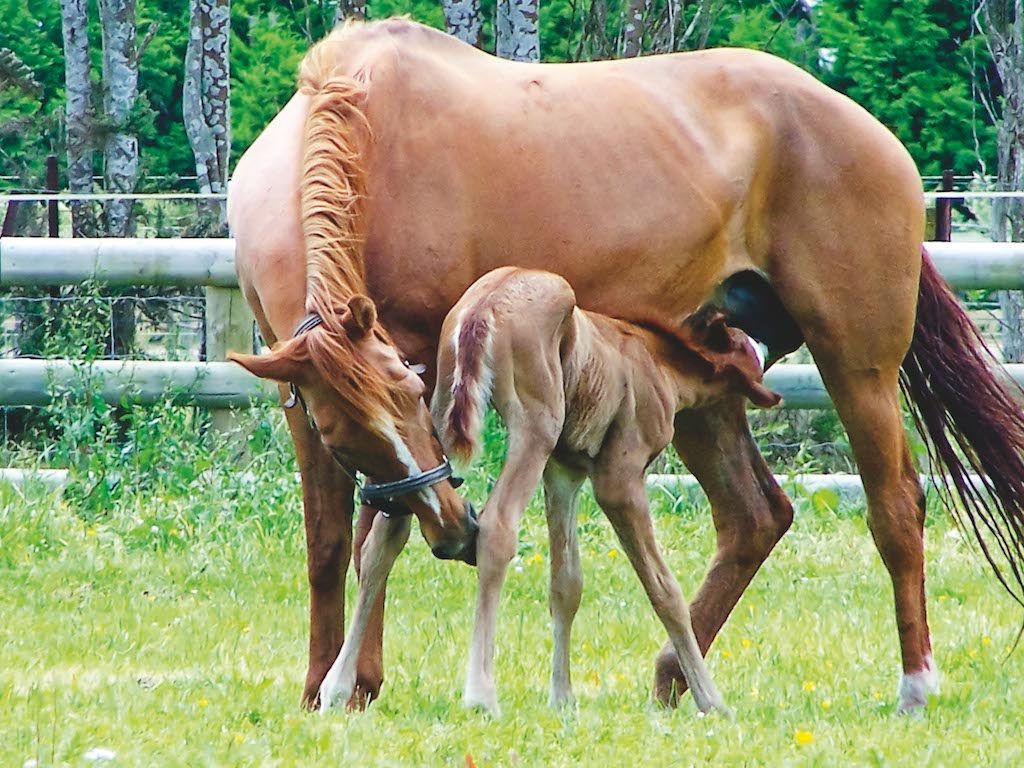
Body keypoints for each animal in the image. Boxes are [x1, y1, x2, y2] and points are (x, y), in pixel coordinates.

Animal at [430, 268, 774, 716]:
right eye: (742, 345)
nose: (765, 347)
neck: (658, 363)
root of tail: (480, 312)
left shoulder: (565, 470)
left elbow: (566, 584)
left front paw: (562, 699)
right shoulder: (619, 479)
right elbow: (665, 589)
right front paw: (711, 701)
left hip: (438, 410)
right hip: (535, 426)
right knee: (497, 526)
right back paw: (481, 696)